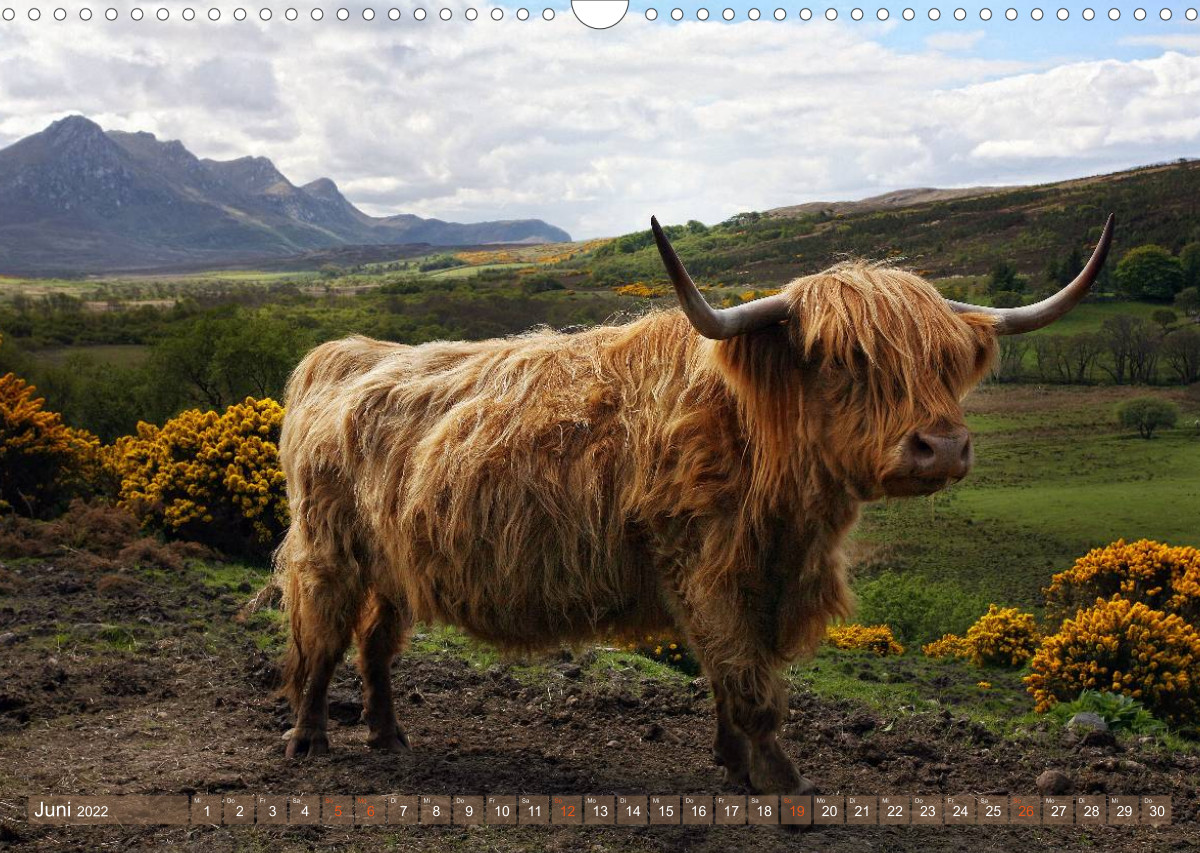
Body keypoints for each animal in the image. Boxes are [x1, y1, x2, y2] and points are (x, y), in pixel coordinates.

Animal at [275, 213, 1114, 795]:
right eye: (846, 360)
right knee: (321, 638)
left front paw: (735, 763)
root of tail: (346, 353)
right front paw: (780, 775)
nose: (941, 447)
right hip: (329, 548)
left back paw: (389, 733)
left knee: (375, 644)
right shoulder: (704, 568)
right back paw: (309, 737)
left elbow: (731, 674)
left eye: (945, 362)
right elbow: (747, 677)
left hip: (392, 562)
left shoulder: (759, 575)